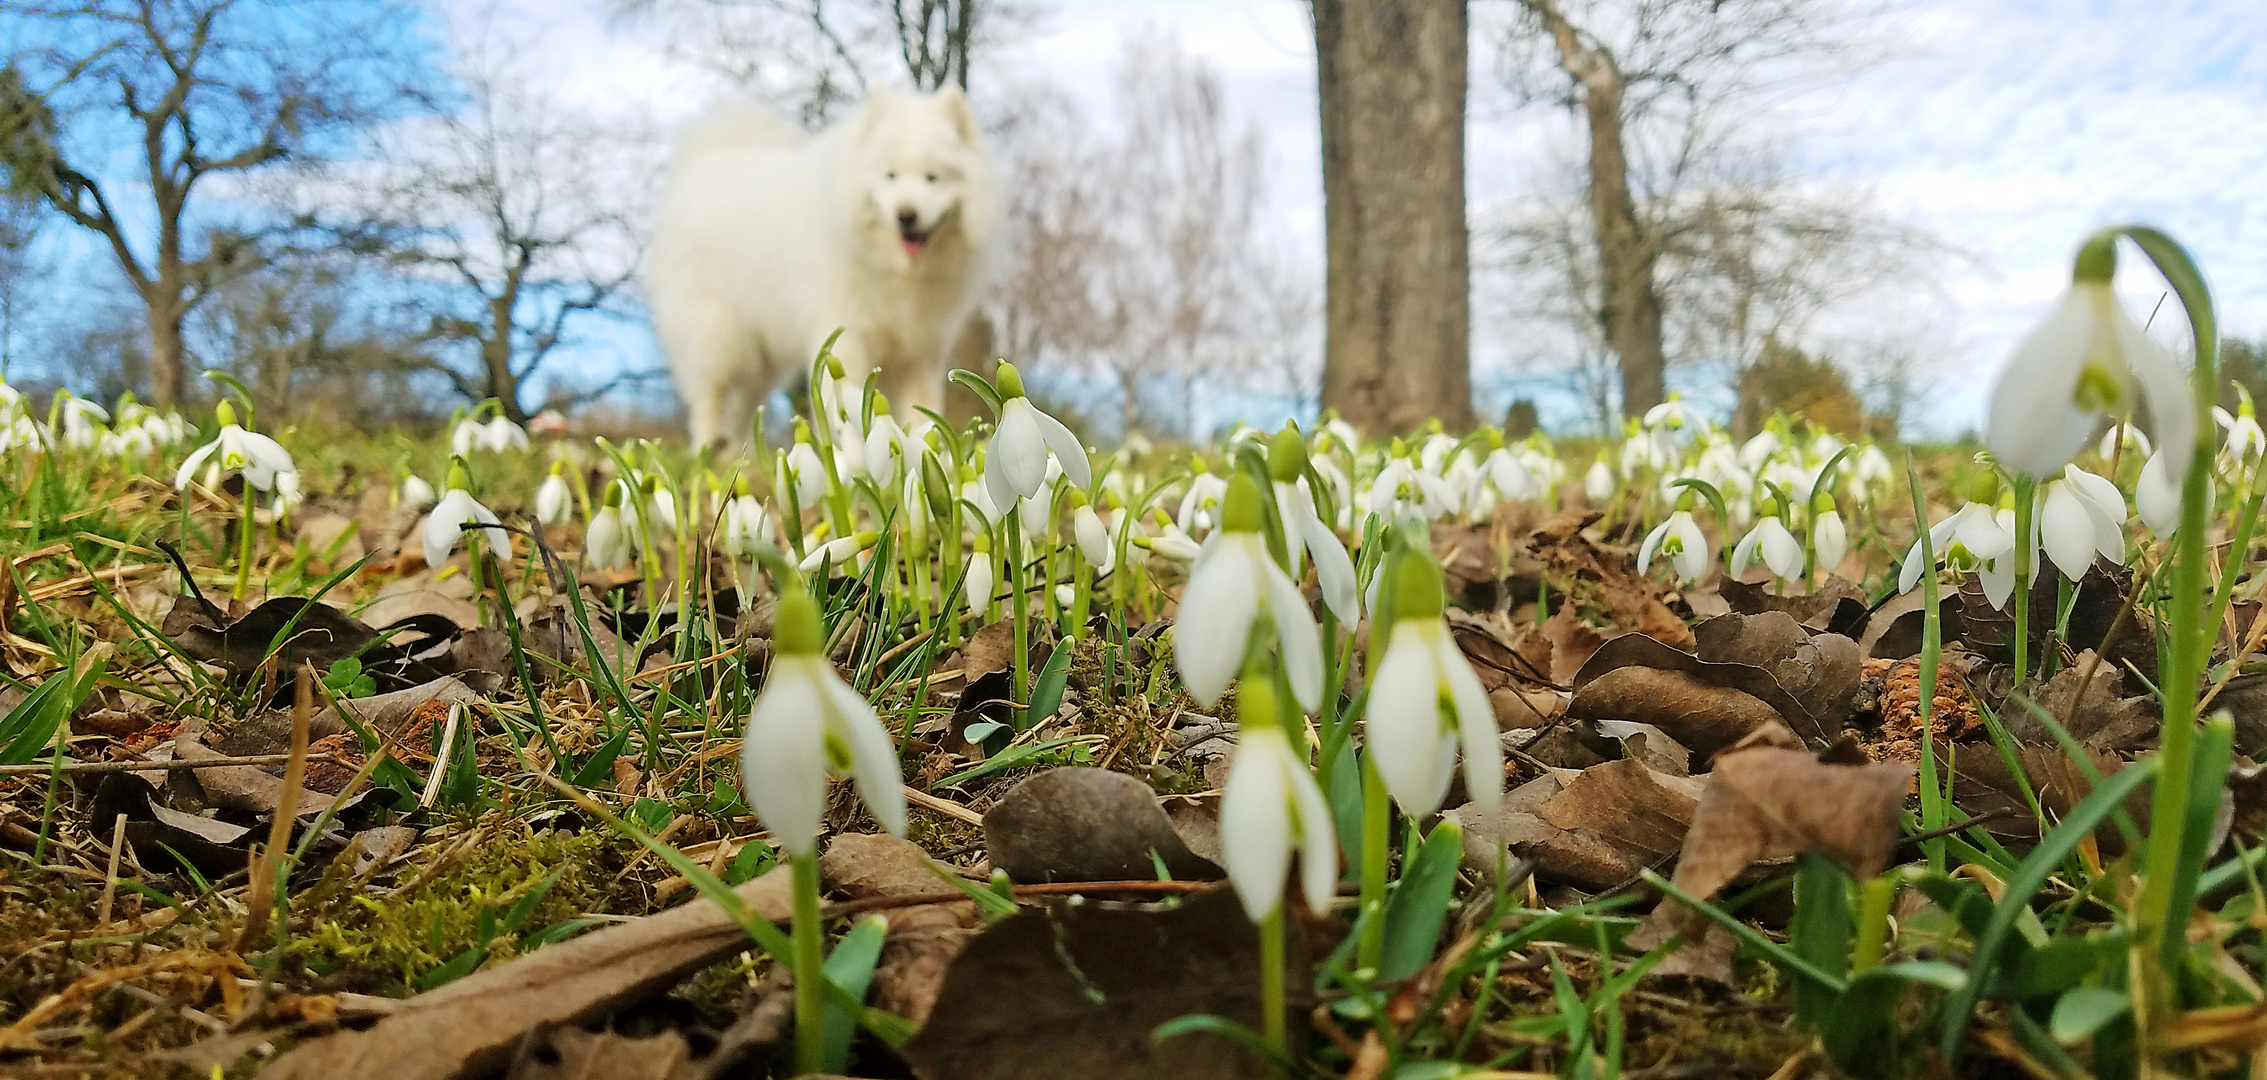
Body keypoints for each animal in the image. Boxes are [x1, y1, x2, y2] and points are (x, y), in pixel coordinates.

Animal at [639, 86, 992, 449]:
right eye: (890, 176)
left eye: (932, 178)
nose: (906, 215)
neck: (894, 270)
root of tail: (706, 163)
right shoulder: (846, 340)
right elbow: (847, 410)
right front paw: (852, 455)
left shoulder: (920, 354)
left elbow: (923, 414)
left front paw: (931, 453)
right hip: (717, 336)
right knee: (711, 396)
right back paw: (706, 449)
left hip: (761, 351)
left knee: (744, 406)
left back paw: (738, 454)